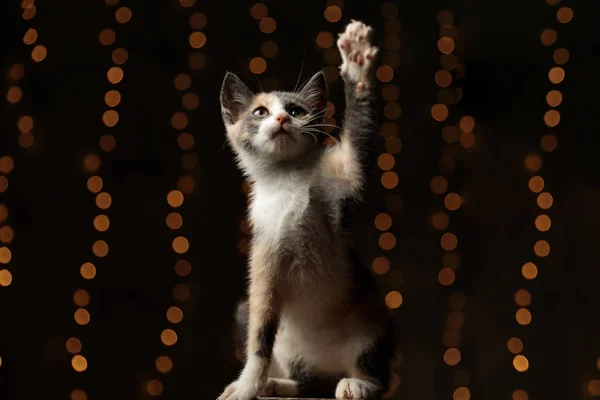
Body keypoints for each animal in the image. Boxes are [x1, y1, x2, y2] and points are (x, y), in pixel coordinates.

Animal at [216, 21, 394, 400]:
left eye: (297, 110)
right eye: (260, 112)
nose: (283, 117)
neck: (288, 180)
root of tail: (326, 367)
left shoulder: (343, 177)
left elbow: (358, 143)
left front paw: (357, 63)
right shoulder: (264, 252)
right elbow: (260, 337)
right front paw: (248, 385)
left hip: (374, 320)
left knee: (372, 372)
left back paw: (358, 383)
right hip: (256, 322)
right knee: (305, 382)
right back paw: (277, 384)